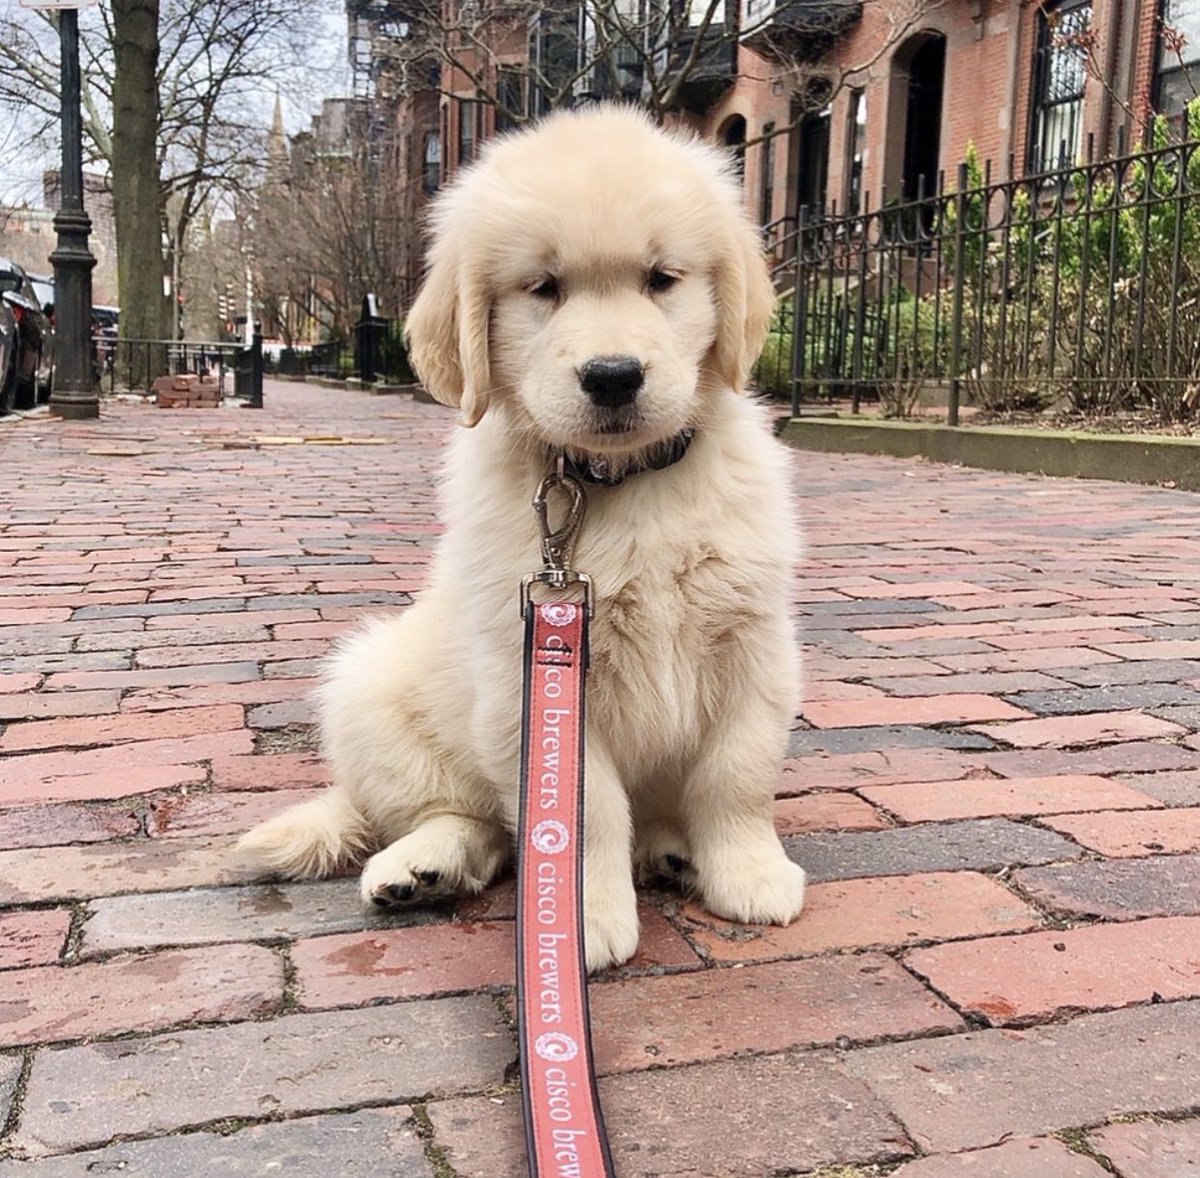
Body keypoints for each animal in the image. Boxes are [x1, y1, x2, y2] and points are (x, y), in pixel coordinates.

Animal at [236, 103, 806, 969]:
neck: (619, 486)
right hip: (367, 687)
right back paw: (422, 866)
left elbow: (736, 772)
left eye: (661, 279)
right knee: (473, 822)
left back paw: (670, 849)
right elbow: (580, 812)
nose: (613, 376)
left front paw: (748, 871)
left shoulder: (754, 646)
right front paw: (578, 921)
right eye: (543, 288)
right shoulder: (530, 669)